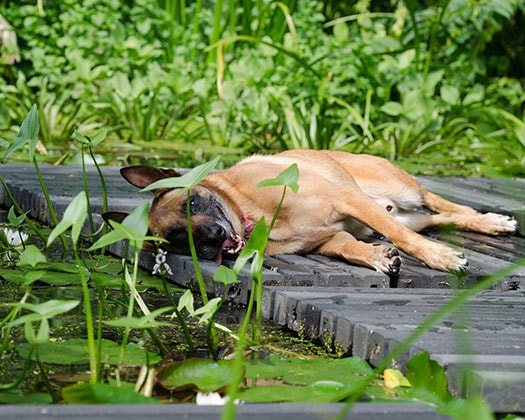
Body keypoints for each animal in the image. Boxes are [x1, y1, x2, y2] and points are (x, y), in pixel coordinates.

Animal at [105, 149, 516, 274]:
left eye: (191, 203)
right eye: (176, 238)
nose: (211, 239)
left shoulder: (347, 200)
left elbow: (403, 239)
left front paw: (440, 258)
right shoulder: (328, 239)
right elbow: (349, 247)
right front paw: (377, 257)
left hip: (403, 191)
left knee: (440, 203)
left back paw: (491, 220)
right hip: (405, 211)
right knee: (437, 219)